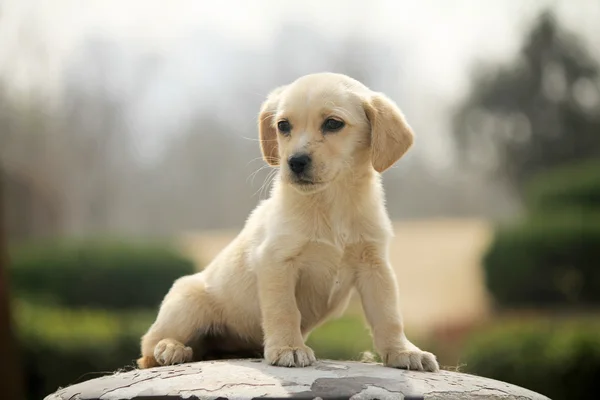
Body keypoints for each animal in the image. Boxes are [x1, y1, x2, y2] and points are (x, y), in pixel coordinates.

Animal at [139, 71, 440, 372]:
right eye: (283, 126)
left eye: (333, 124)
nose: (295, 162)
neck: (332, 203)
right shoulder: (276, 261)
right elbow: (284, 311)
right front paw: (289, 348)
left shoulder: (374, 265)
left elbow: (388, 315)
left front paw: (403, 352)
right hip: (186, 304)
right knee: (148, 349)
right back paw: (172, 348)